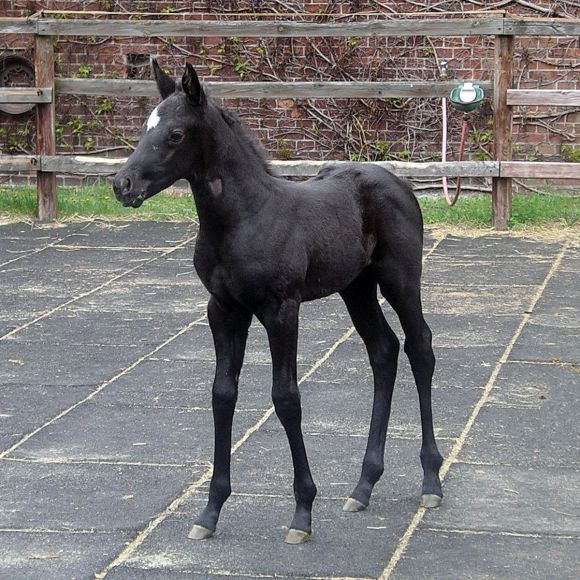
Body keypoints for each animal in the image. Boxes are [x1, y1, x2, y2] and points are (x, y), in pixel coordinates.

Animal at [113, 62, 442, 544]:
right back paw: (363, 486)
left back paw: (431, 481)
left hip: (399, 278)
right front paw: (210, 511)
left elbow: (286, 398)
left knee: (420, 347)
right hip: (356, 287)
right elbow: (222, 394)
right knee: (384, 351)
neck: (245, 218)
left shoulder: (282, 310)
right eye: (144, 128)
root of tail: (400, 183)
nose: (123, 184)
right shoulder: (223, 310)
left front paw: (302, 512)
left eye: (175, 134)